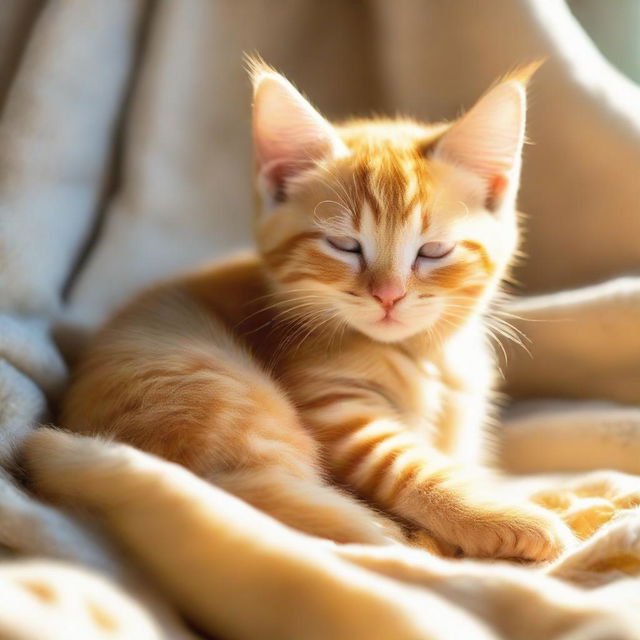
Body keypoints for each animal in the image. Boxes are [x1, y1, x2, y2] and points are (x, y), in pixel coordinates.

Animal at [60, 60, 572, 560]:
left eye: (434, 251)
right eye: (345, 246)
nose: (389, 294)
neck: (426, 354)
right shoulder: (334, 408)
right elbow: (410, 468)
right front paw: (503, 516)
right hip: (229, 397)